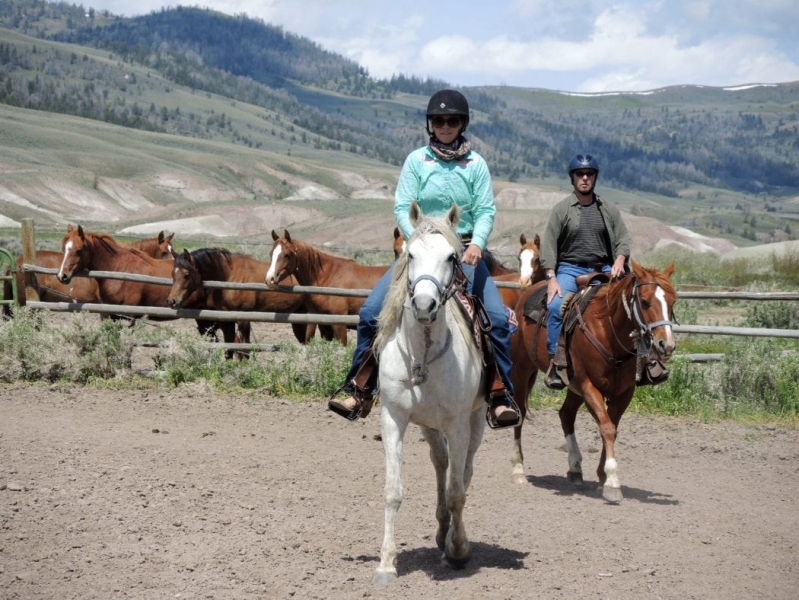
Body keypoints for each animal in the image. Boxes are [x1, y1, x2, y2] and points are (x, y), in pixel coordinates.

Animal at [169, 246, 328, 344]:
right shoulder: (226, 320)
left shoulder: (243, 319)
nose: (172, 301)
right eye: (173, 274)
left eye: (187, 275)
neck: (230, 275)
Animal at [370, 202, 488, 584]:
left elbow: (457, 492)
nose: (424, 304)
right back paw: (440, 532)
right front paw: (386, 564)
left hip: (475, 421)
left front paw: (459, 550)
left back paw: (451, 539)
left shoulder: (458, 423)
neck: (422, 354)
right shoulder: (394, 417)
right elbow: (393, 491)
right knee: (442, 462)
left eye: (452, 256)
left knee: (464, 471)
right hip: (428, 425)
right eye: (410, 254)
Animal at [510, 262, 680, 502]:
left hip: (572, 385)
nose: (667, 345)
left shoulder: (624, 392)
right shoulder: (590, 386)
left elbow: (611, 428)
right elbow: (606, 428)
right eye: (645, 301)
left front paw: (602, 476)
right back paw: (518, 469)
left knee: (566, 414)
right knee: (521, 413)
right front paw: (612, 482)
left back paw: (575, 468)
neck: (609, 332)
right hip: (522, 368)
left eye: (672, 301)